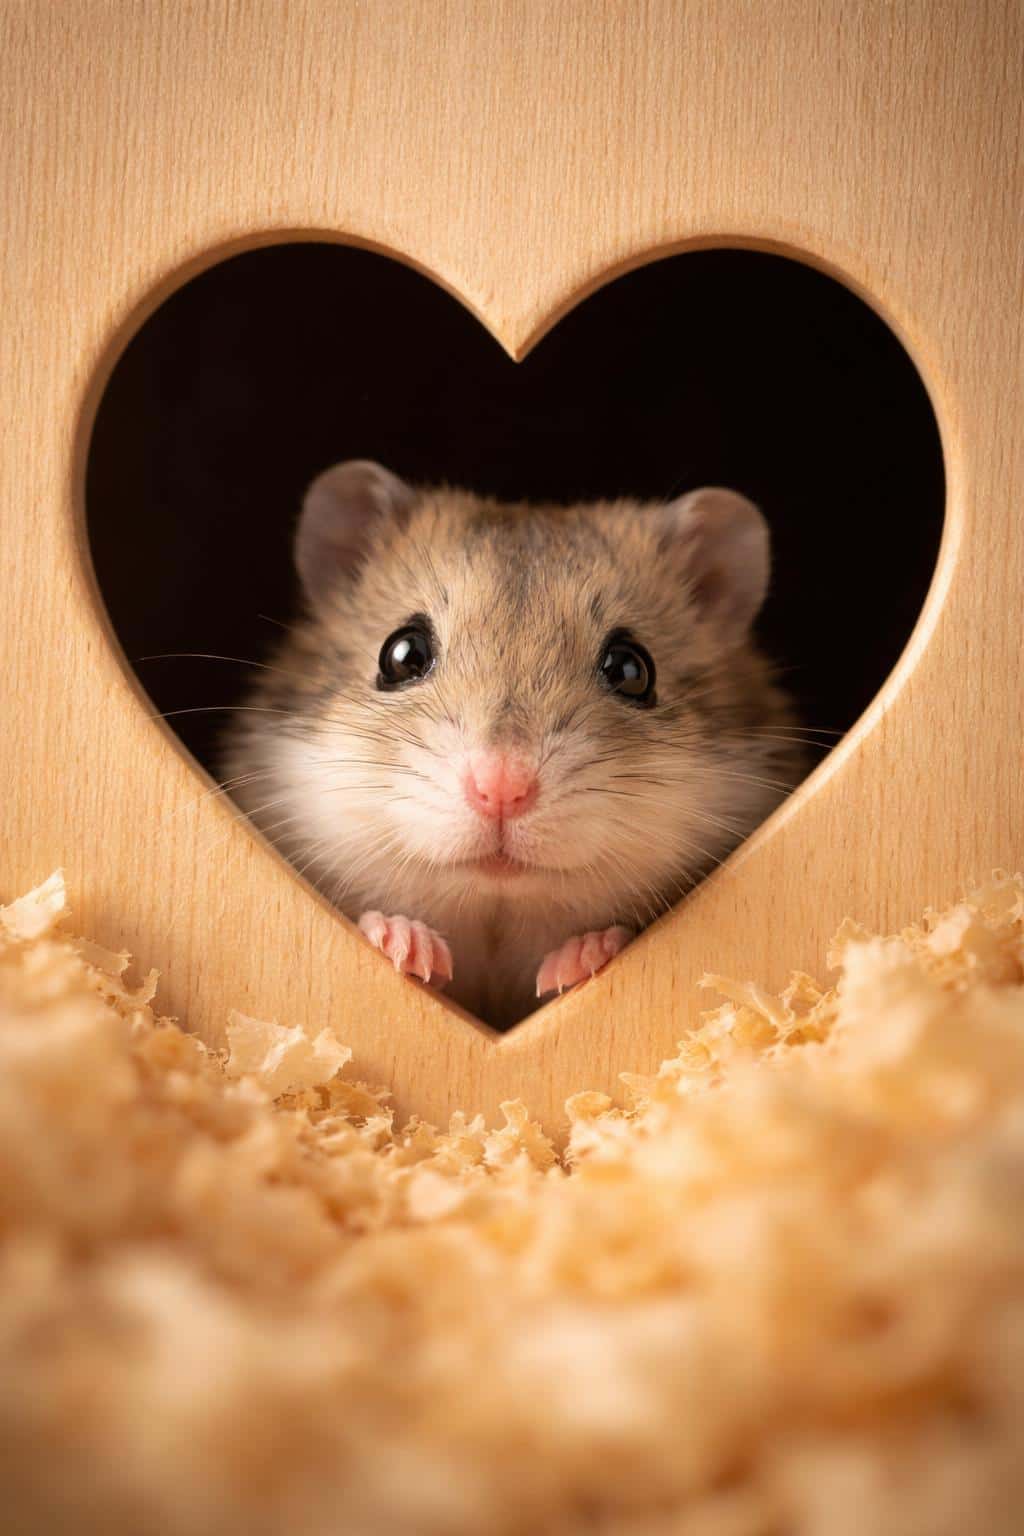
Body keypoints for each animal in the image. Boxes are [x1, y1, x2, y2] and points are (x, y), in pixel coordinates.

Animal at [222, 460, 805, 1029]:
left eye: (632, 669)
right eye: (401, 654)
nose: (501, 789)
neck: (495, 908)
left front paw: (581, 959)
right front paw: (406, 943)